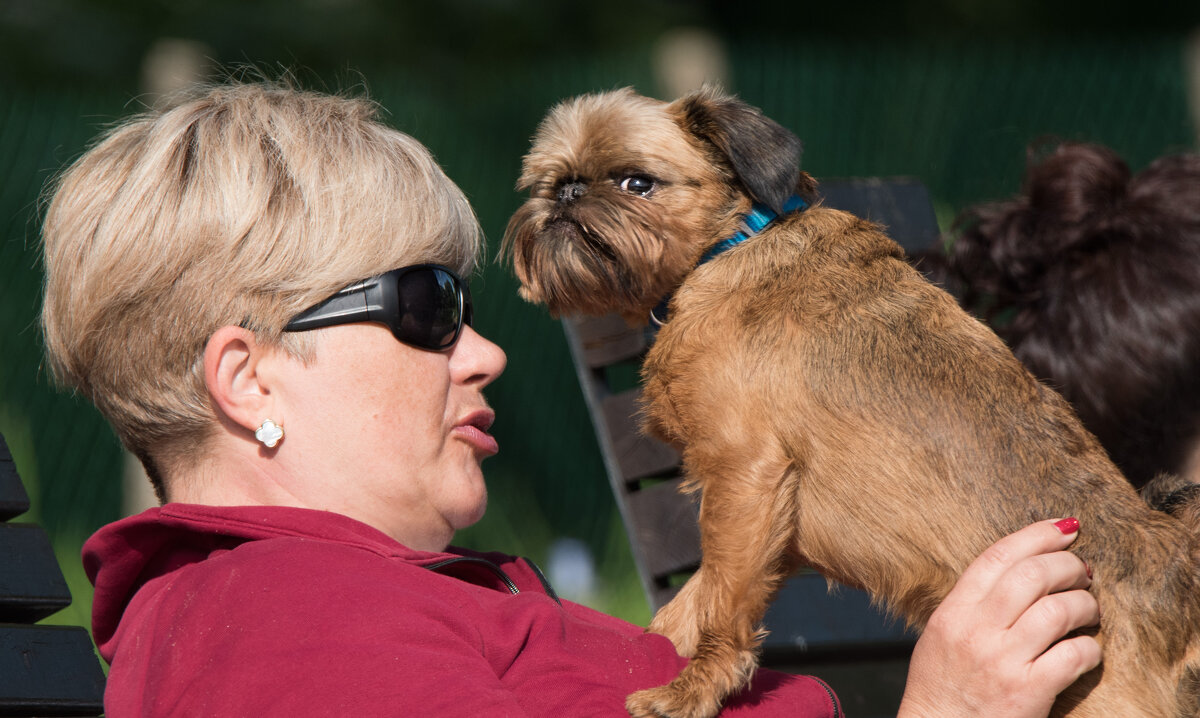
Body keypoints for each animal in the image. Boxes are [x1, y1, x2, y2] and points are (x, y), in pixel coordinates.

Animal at [499, 88, 1200, 718]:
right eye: (547, 182)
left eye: (636, 183)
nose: (566, 193)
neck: (730, 247)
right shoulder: (764, 516)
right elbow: (691, 601)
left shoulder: (747, 475)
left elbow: (721, 601)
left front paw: (693, 691)